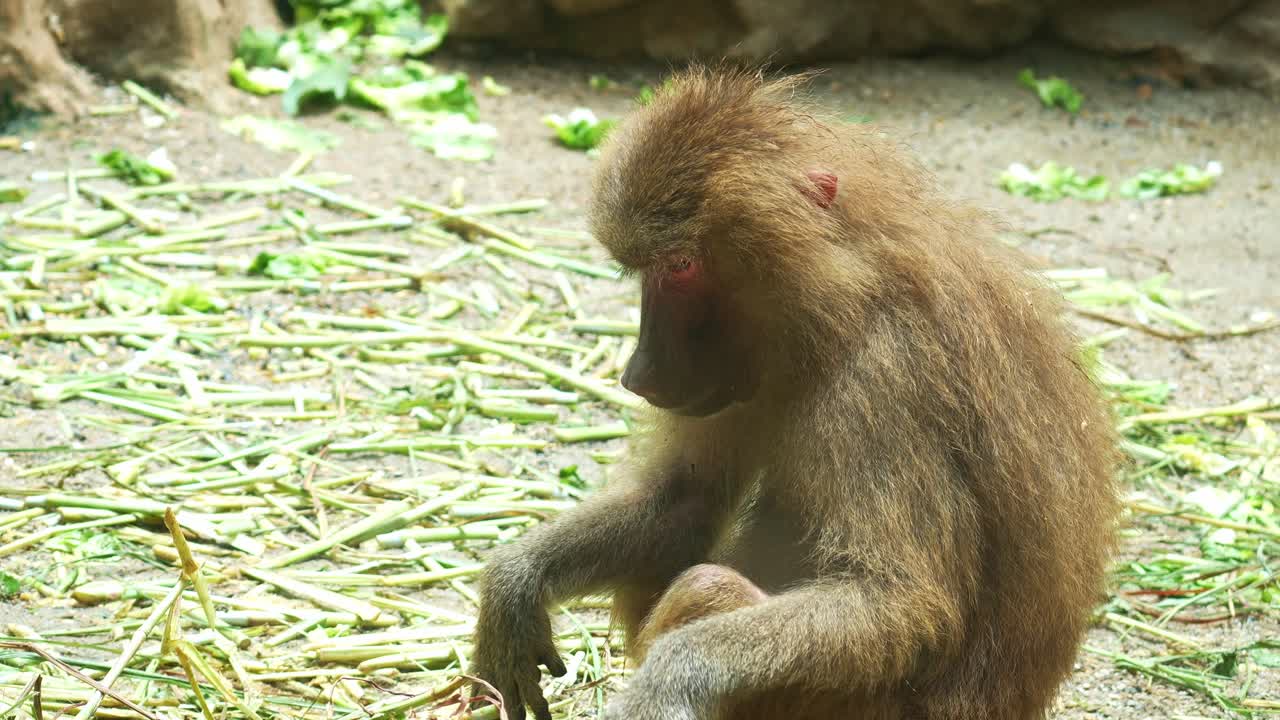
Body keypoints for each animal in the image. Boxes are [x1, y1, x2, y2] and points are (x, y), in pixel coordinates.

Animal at [470, 65, 1120, 720]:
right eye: (647, 270)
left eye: (681, 265)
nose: (638, 375)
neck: (843, 295)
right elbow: (684, 498)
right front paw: (514, 583)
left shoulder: (884, 377)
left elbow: (901, 602)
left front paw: (672, 679)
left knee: (710, 586)